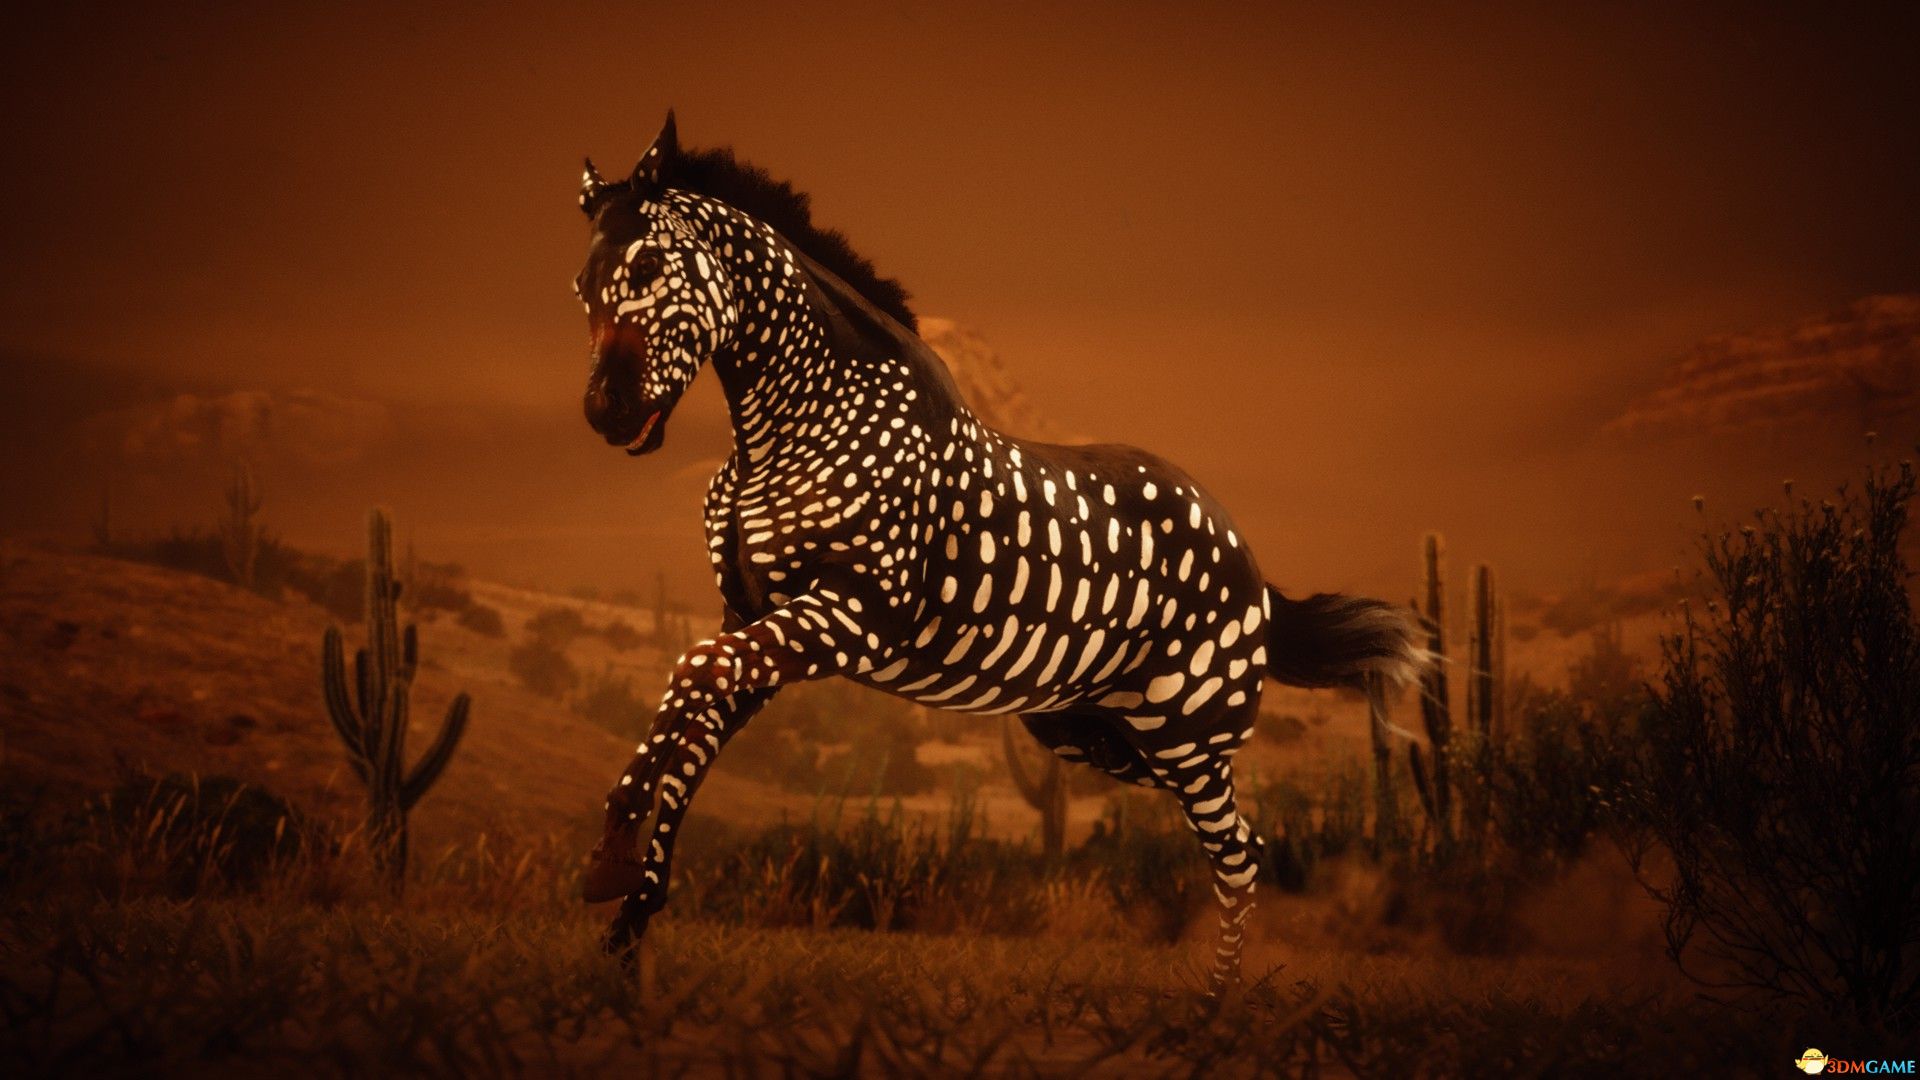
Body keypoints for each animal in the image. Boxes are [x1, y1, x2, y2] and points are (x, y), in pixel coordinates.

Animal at [573, 112, 1426, 989]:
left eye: (647, 266)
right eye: (580, 288)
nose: (606, 413)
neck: (792, 425)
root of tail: (1250, 564)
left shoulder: (849, 615)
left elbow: (689, 677)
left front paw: (611, 859)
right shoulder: (753, 618)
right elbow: (689, 729)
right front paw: (628, 920)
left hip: (1184, 730)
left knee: (1239, 854)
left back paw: (1213, 1005)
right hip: (1099, 730)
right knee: (1239, 843)